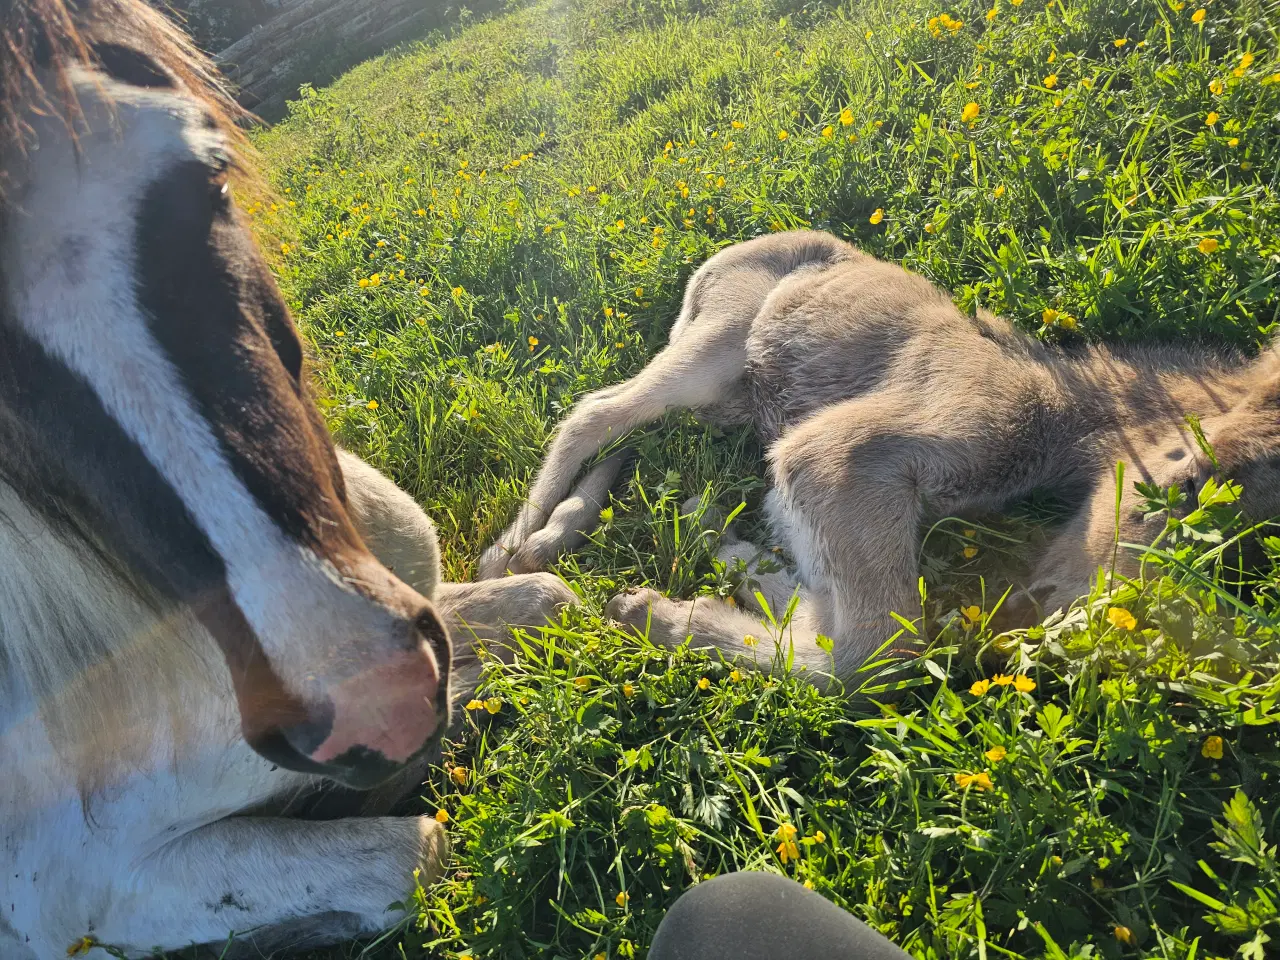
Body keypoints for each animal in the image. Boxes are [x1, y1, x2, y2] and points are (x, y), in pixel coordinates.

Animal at [481, 231, 1280, 686]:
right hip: (715, 351)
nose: (1058, 612)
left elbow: (816, 601)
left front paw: (723, 554)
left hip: (727, 398)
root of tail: (708, 265)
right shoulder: (842, 451)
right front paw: (658, 612)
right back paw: (514, 549)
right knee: (596, 409)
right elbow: (874, 658)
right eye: (1185, 480)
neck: (1058, 417)